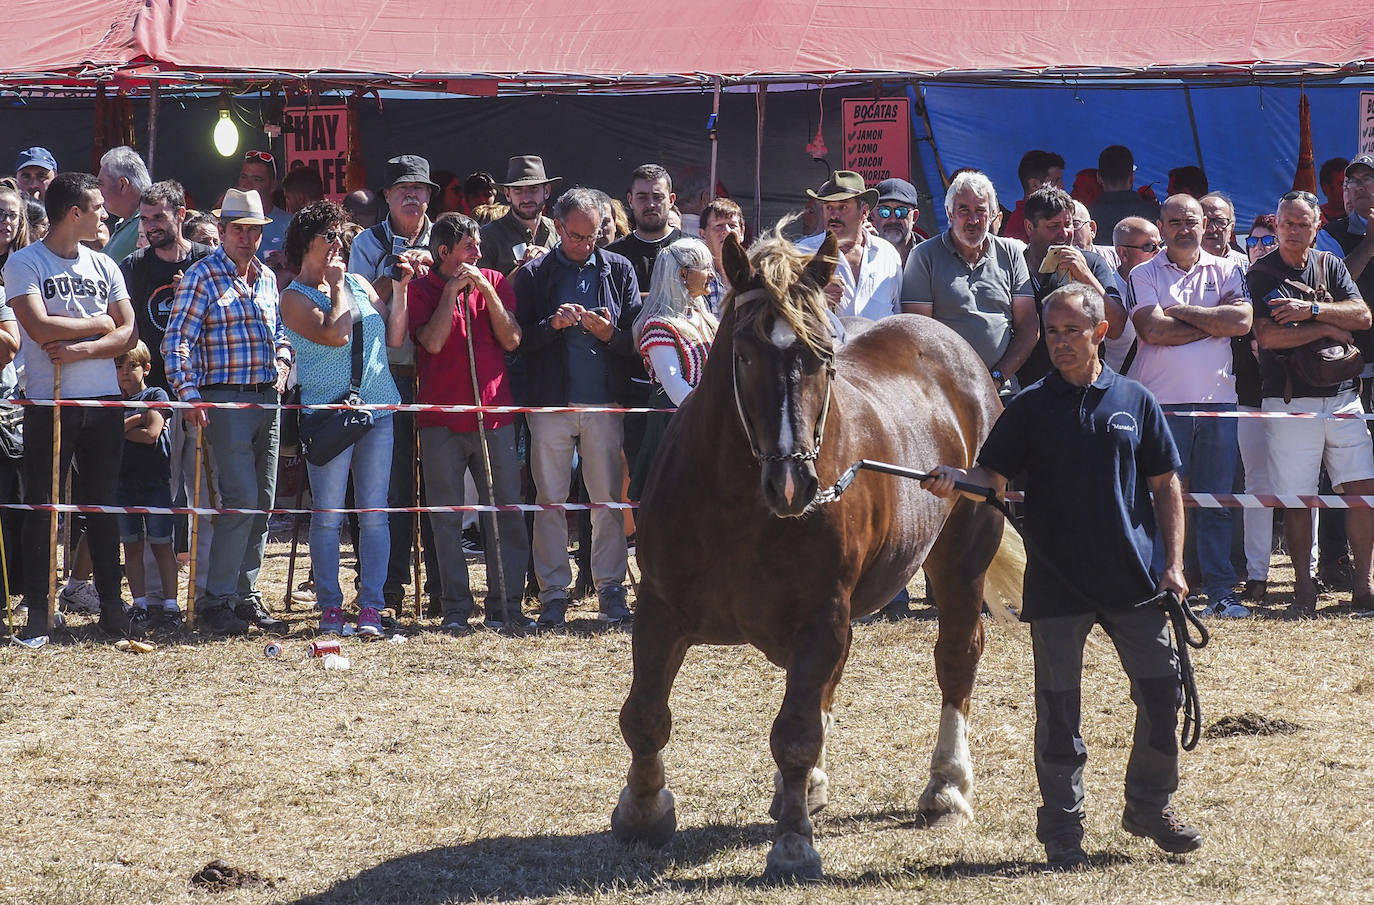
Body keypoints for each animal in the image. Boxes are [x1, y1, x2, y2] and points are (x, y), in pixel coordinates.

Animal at [612, 232, 1022, 878]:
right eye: (744, 354)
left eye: (824, 358)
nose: (793, 483)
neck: (738, 506)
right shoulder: (658, 607)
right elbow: (645, 714)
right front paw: (643, 810)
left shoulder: (822, 615)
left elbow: (796, 731)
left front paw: (794, 843)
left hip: (959, 562)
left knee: (957, 658)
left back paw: (947, 788)